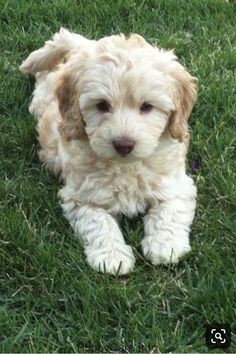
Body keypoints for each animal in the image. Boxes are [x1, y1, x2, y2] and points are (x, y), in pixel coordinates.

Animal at [19, 29, 197, 276]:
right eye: (102, 105)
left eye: (147, 106)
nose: (123, 144)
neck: (125, 165)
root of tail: (84, 47)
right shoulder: (81, 197)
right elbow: (99, 222)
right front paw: (112, 257)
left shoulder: (176, 185)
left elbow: (169, 211)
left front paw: (166, 246)